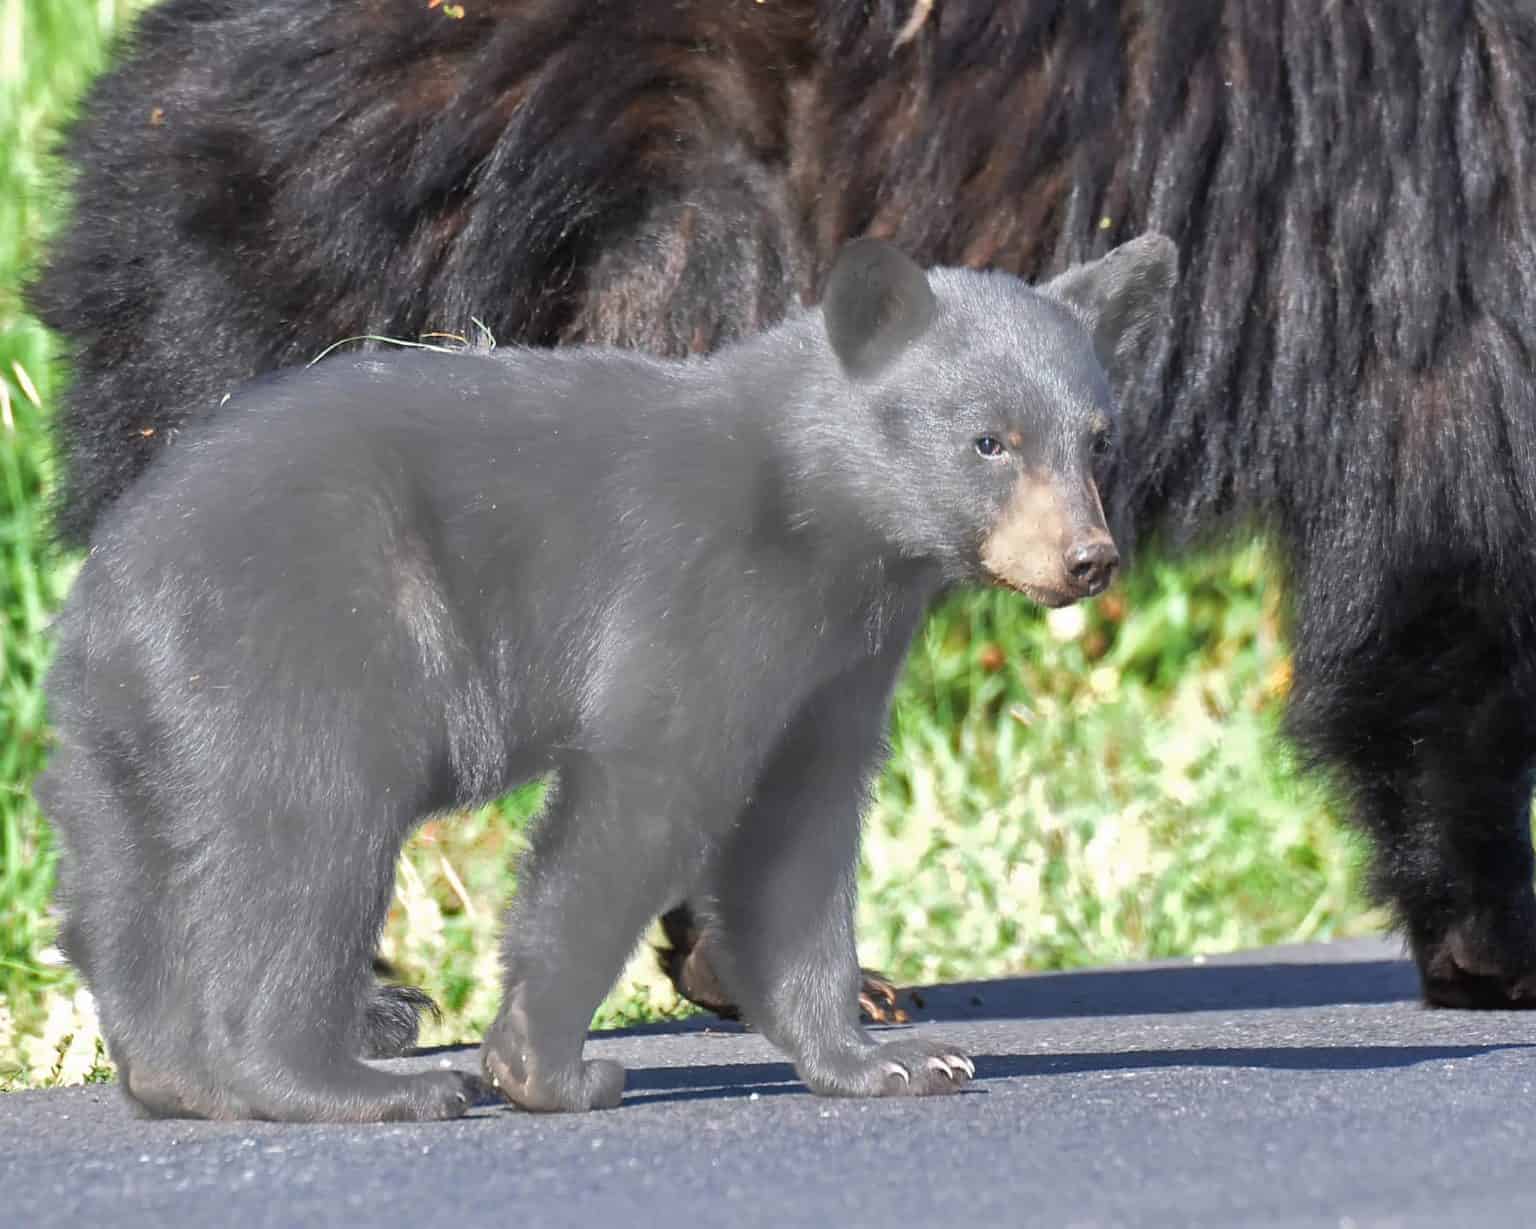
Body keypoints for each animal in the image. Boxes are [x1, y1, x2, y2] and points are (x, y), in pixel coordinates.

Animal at [33, 233, 1161, 1124]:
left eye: (1098, 438)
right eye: (989, 439)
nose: (1088, 559)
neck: (822, 514)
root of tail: (102, 598)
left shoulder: (839, 656)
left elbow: (801, 827)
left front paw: (887, 1058)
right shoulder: (704, 583)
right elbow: (647, 789)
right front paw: (543, 1067)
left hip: (130, 735)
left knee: (125, 892)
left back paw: (180, 1076)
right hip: (307, 642)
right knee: (312, 846)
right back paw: (354, 1080)